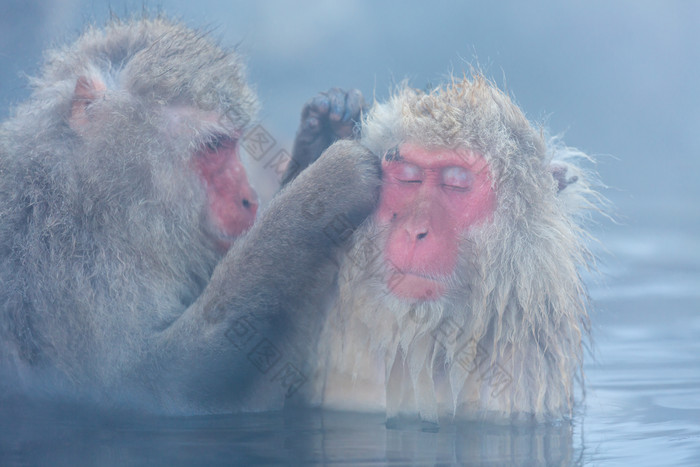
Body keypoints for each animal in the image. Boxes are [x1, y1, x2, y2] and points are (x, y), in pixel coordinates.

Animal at [0, 17, 378, 414]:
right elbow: (145, 385)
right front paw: (325, 190)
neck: (96, 200)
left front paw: (325, 131)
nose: (249, 199)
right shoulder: (69, 269)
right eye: (214, 146)